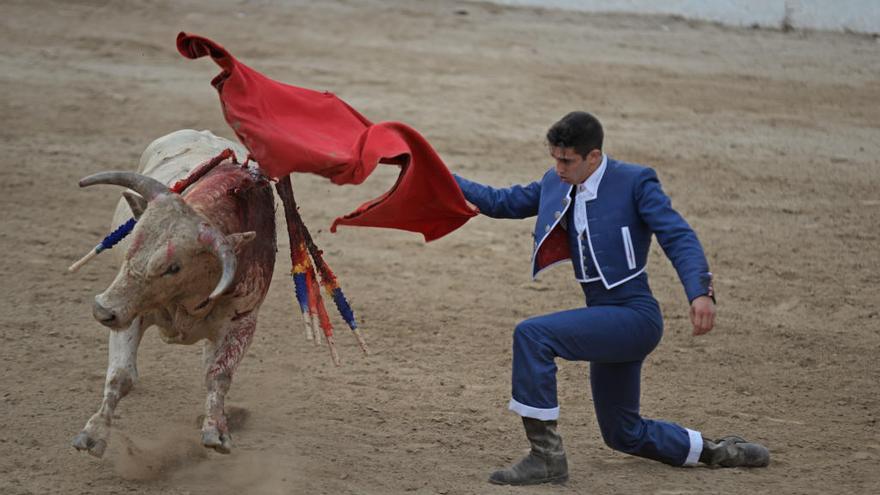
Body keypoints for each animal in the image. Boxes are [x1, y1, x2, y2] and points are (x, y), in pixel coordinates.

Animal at [74, 129, 276, 458]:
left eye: (173, 267)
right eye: (133, 242)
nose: (102, 310)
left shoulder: (243, 321)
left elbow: (218, 375)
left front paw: (216, 431)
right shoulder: (131, 309)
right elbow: (121, 375)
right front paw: (92, 435)